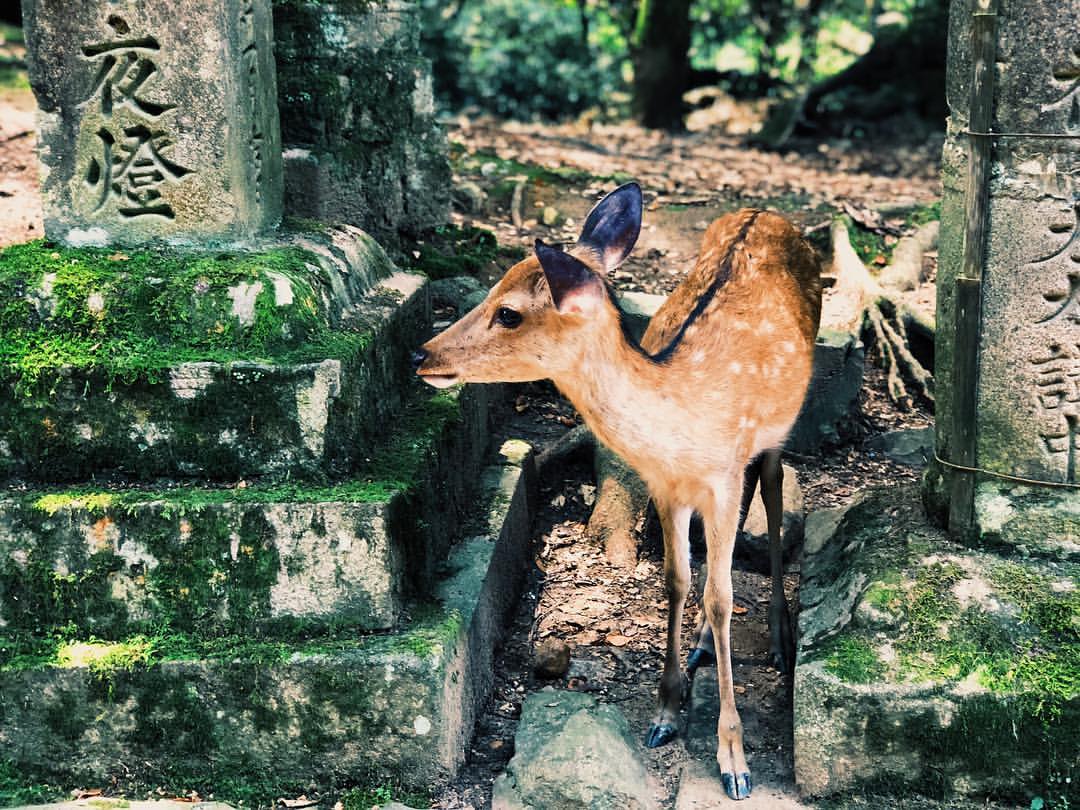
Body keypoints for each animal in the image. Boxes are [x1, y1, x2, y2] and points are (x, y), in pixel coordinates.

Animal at [413, 183, 821, 801]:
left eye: (508, 312)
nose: (422, 354)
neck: (680, 424)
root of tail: (764, 211)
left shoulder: (722, 475)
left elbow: (722, 596)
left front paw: (734, 760)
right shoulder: (668, 486)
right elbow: (678, 580)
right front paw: (665, 714)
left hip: (781, 425)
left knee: (772, 488)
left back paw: (778, 636)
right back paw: (704, 644)